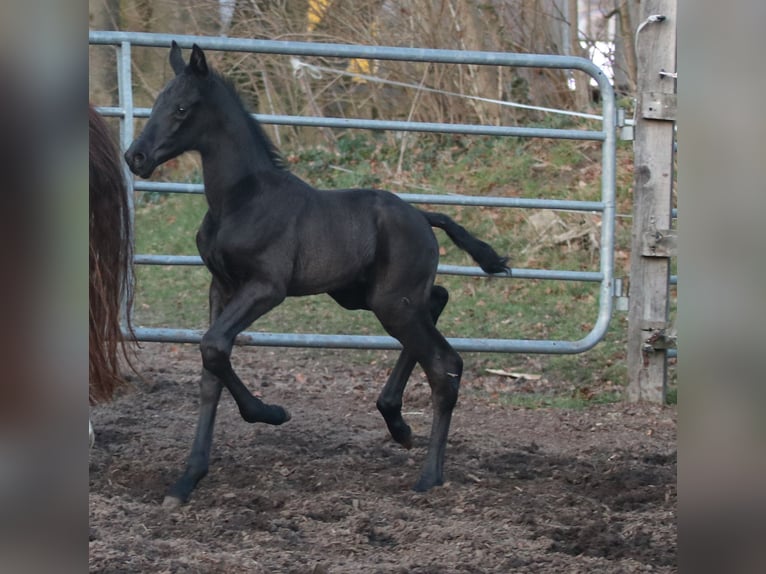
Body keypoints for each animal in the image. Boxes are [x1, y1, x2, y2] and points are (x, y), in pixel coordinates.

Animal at [125, 42, 510, 507]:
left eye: (182, 108)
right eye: (156, 105)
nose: (135, 157)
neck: (241, 200)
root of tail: (422, 216)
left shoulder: (266, 287)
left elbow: (214, 346)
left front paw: (270, 413)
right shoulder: (221, 286)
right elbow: (209, 371)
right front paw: (186, 480)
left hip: (389, 303)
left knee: (444, 362)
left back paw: (428, 474)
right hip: (369, 296)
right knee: (438, 300)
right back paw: (397, 423)